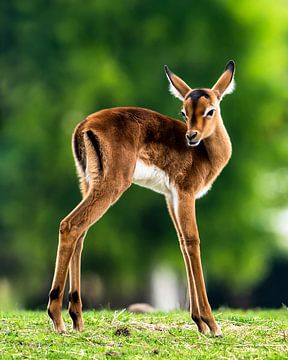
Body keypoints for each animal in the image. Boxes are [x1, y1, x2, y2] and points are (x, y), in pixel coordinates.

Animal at [47, 57, 235, 336]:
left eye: (209, 110)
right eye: (184, 112)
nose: (191, 136)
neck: (205, 153)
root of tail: (85, 125)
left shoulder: (170, 197)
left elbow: (181, 243)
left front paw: (199, 322)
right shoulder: (185, 193)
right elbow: (193, 242)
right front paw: (211, 324)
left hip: (87, 184)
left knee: (80, 234)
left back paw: (77, 319)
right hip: (111, 186)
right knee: (70, 225)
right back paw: (57, 318)